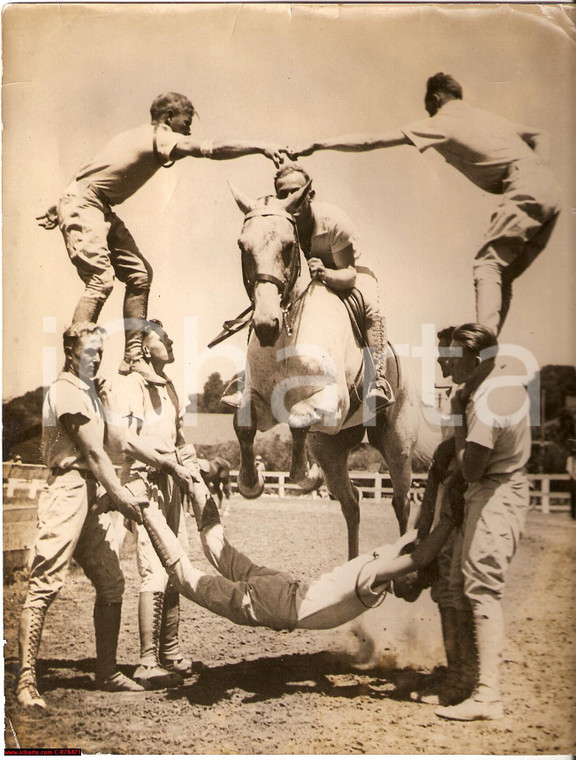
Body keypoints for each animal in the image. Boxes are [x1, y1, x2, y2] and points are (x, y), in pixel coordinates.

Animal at [227, 183, 438, 560]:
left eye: (288, 246)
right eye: (243, 246)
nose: (265, 324)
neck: (288, 329)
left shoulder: (332, 402)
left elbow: (297, 418)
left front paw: (303, 474)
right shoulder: (260, 399)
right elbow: (245, 425)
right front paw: (251, 482)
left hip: (397, 445)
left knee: (400, 502)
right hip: (332, 447)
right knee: (351, 502)